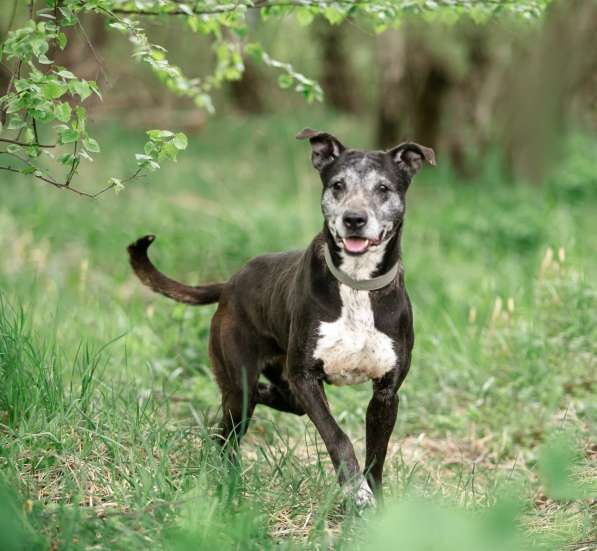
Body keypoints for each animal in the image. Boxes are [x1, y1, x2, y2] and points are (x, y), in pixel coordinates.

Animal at [128, 129, 434, 508]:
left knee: (264, 398)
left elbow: (377, 453)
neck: (356, 283)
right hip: (244, 382)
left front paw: (373, 499)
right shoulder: (305, 378)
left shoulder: (386, 392)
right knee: (230, 428)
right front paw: (355, 489)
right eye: (338, 185)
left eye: (383, 188)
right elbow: (338, 437)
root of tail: (229, 284)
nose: (354, 219)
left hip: (280, 382)